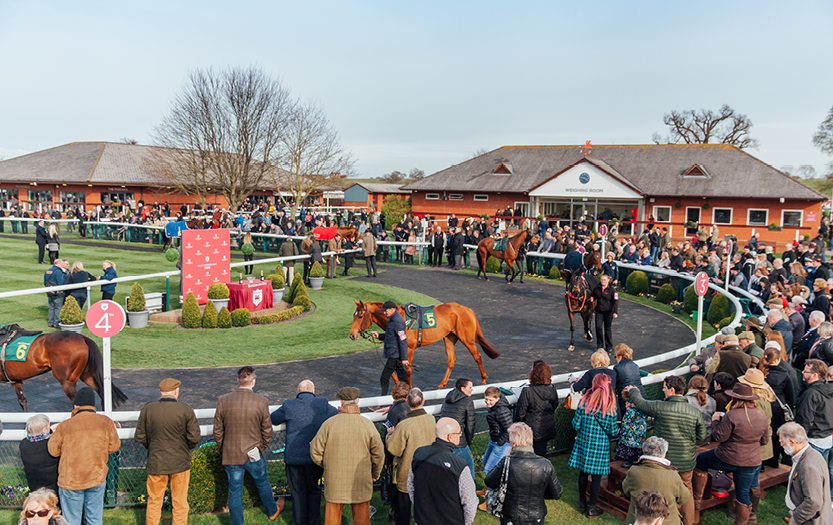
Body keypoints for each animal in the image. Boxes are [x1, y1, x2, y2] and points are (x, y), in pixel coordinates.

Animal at [346, 298, 498, 388]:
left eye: (360, 316)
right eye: (353, 315)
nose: (352, 335)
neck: (400, 319)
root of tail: (468, 309)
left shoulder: (409, 348)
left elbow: (407, 369)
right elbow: (393, 369)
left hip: (467, 339)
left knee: (477, 356)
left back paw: (483, 379)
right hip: (449, 338)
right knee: (451, 360)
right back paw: (442, 384)